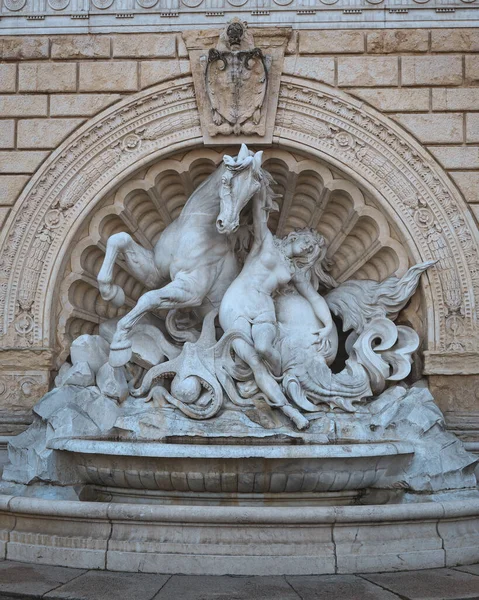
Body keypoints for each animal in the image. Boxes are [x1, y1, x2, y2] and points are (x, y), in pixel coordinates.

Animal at [97, 146, 262, 370]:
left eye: (253, 191)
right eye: (226, 180)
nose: (227, 225)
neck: (195, 224)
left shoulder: (193, 290)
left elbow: (149, 297)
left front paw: (119, 342)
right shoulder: (155, 272)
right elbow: (119, 238)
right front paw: (112, 293)